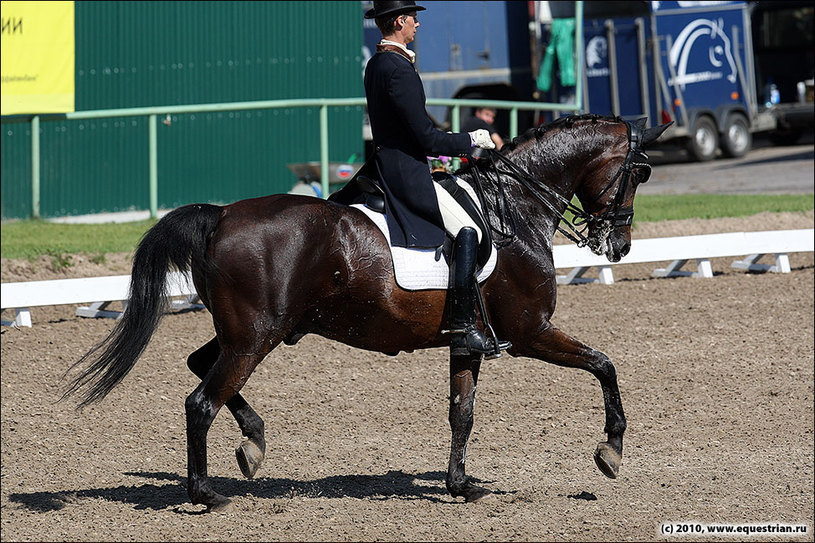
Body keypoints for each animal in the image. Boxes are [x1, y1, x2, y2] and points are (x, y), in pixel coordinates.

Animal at [63, 112, 672, 512]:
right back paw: (206, 493)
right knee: (200, 402)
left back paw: (253, 444)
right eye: (641, 172)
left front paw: (460, 484)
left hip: (249, 333)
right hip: (254, 338)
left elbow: (462, 412)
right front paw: (611, 451)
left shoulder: (469, 340)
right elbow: (604, 364)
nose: (618, 246)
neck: (513, 209)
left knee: (199, 368)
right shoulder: (529, 332)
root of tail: (223, 215)